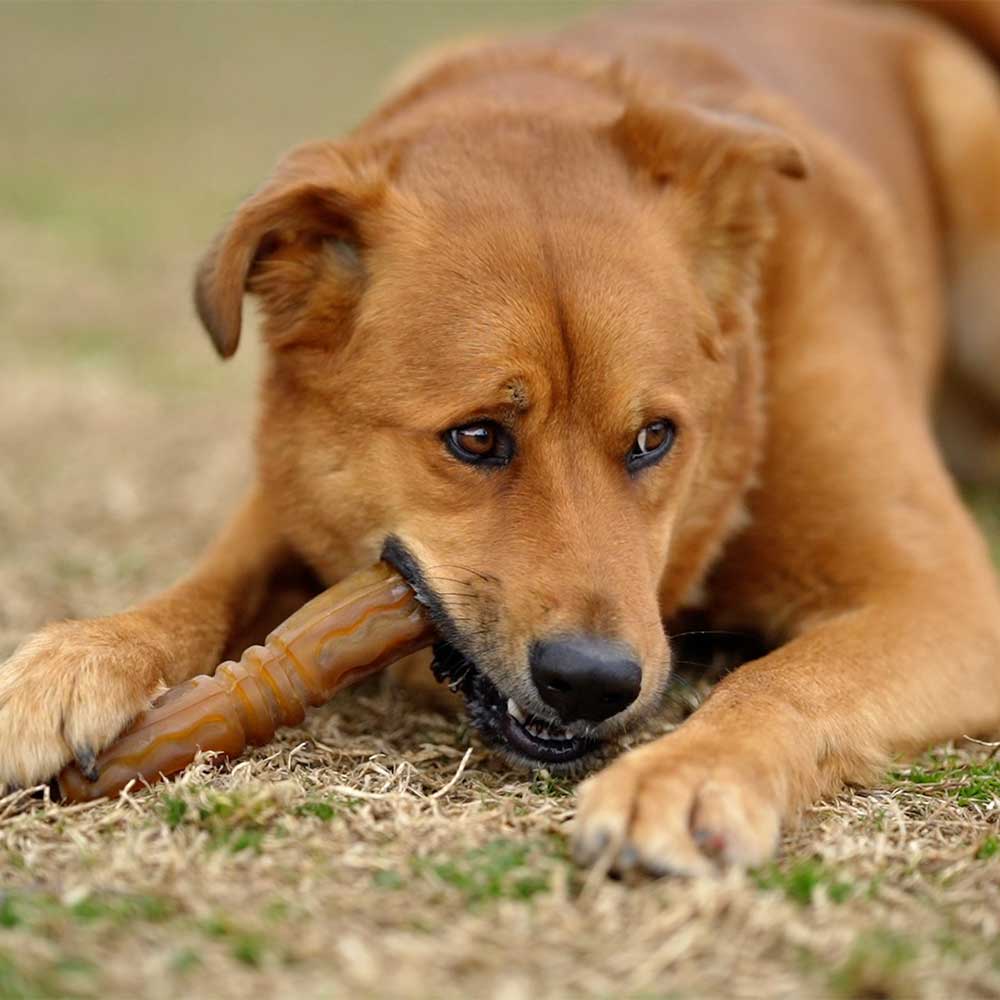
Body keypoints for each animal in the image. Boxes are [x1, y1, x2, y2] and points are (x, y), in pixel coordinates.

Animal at [1, 0, 1000, 876]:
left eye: (655, 437)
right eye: (477, 438)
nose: (595, 682)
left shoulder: (944, 594)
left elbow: (787, 677)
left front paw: (690, 772)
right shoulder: (288, 493)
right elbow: (211, 580)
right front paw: (80, 657)